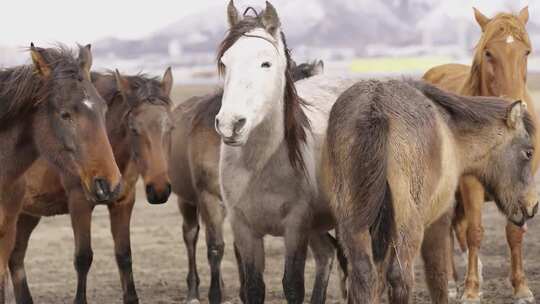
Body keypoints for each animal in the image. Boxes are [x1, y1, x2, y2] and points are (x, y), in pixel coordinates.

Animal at [7, 69, 173, 304]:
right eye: (134, 129)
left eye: (171, 127)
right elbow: (83, 257)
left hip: (27, 213)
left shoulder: (123, 202)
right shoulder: (80, 202)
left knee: (15, 257)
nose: (159, 190)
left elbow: (124, 254)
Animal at [169, 57, 326, 304]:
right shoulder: (210, 198)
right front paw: (216, 295)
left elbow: (239, 250)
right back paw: (193, 292)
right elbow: (216, 248)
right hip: (186, 200)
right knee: (190, 236)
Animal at [211, 1, 358, 302]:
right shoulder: (243, 228)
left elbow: (292, 285)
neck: (259, 165)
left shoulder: (296, 226)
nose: (230, 124)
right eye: (225, 62)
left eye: (266, 63)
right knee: (326, 254)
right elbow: (254, 288)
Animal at [322, 79, 536, 304]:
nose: (533, 205)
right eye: (528, 152)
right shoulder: (439, 220)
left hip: (353, 225)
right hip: (408, 228)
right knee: (400, 276)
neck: (450, 132)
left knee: (363, 275)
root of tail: (375, 107)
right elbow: (437, 275)